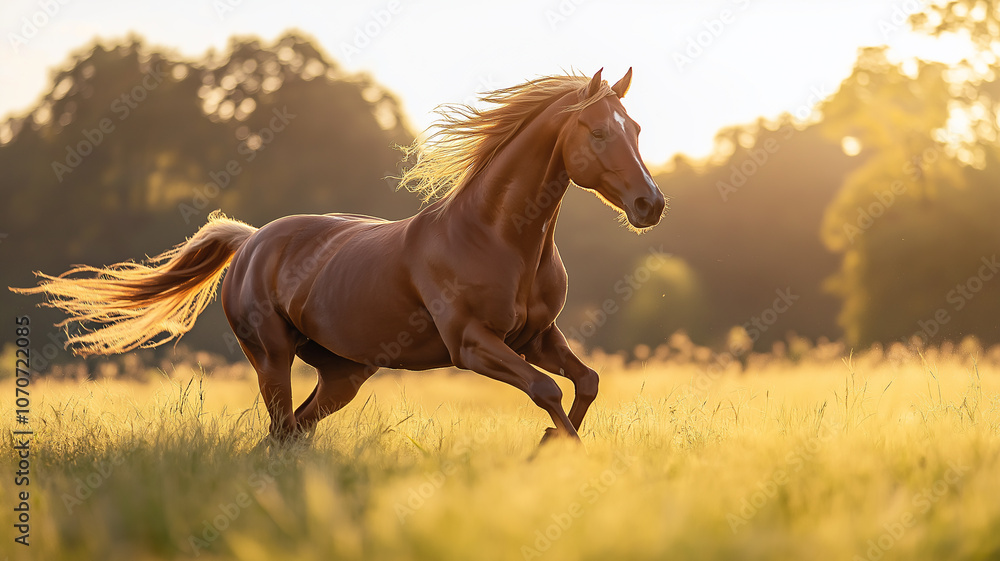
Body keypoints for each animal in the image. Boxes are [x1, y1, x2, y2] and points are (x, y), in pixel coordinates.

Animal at [12, 68, 666, 445]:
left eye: (635, 128)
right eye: (599, 132)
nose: (650, 203)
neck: (496, 237)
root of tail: (251, 240)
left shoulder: (536, 336)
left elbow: (586, 381)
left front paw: (553, 447)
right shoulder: (473, 344)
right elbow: (548, 392)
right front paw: (557, 452)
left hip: (343, 373)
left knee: (292, 433)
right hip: (271, 357)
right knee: (280, 429)